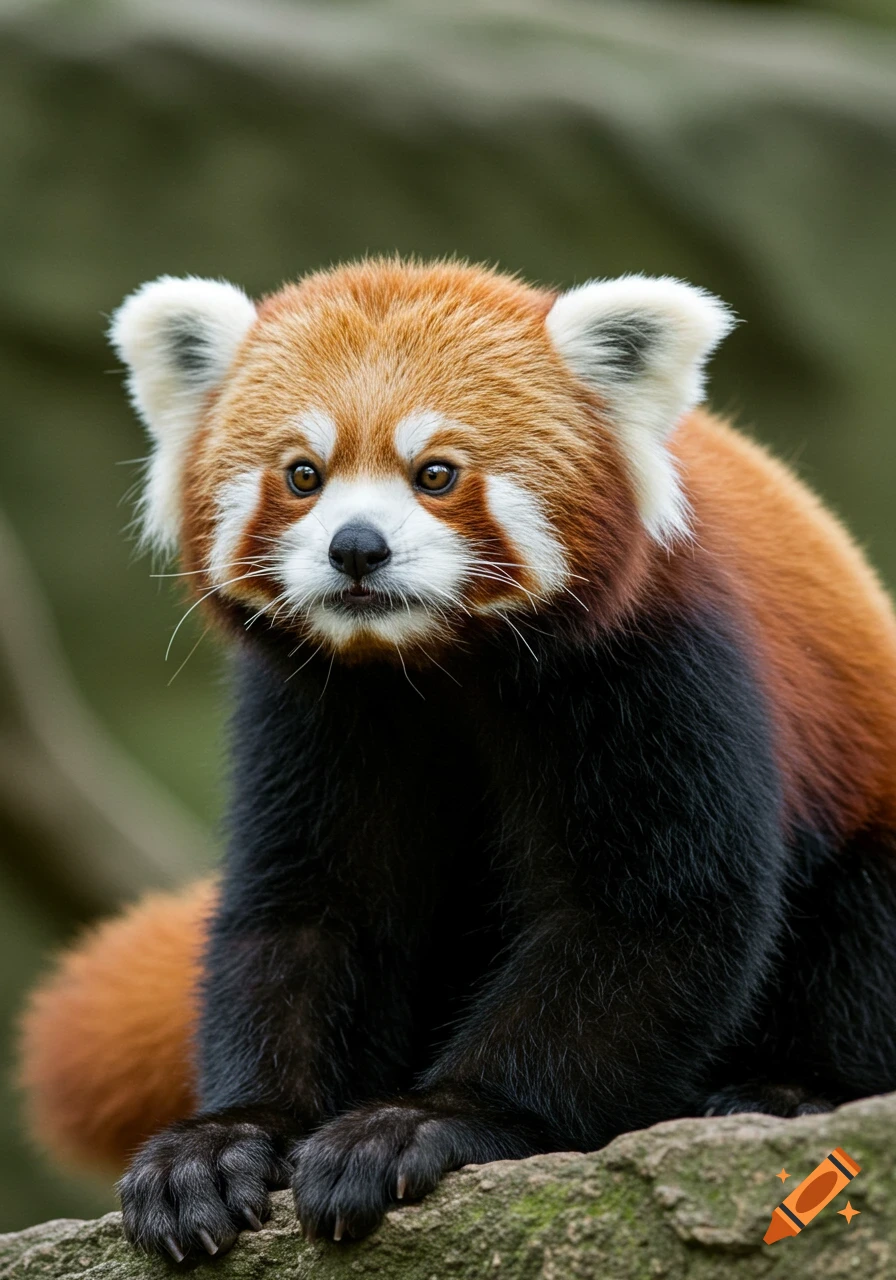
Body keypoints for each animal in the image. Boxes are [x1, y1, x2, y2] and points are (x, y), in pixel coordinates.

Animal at [18, 258, 896, 1261]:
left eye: (435, 473)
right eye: (303, 475)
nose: (356, 547)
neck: (435, 668)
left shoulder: (659, 665)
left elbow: (649, 917)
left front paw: (428, 1121)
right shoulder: (320, 712)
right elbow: (311, 913)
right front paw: (225, 1138)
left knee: (860, 936)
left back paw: (788, 1089)